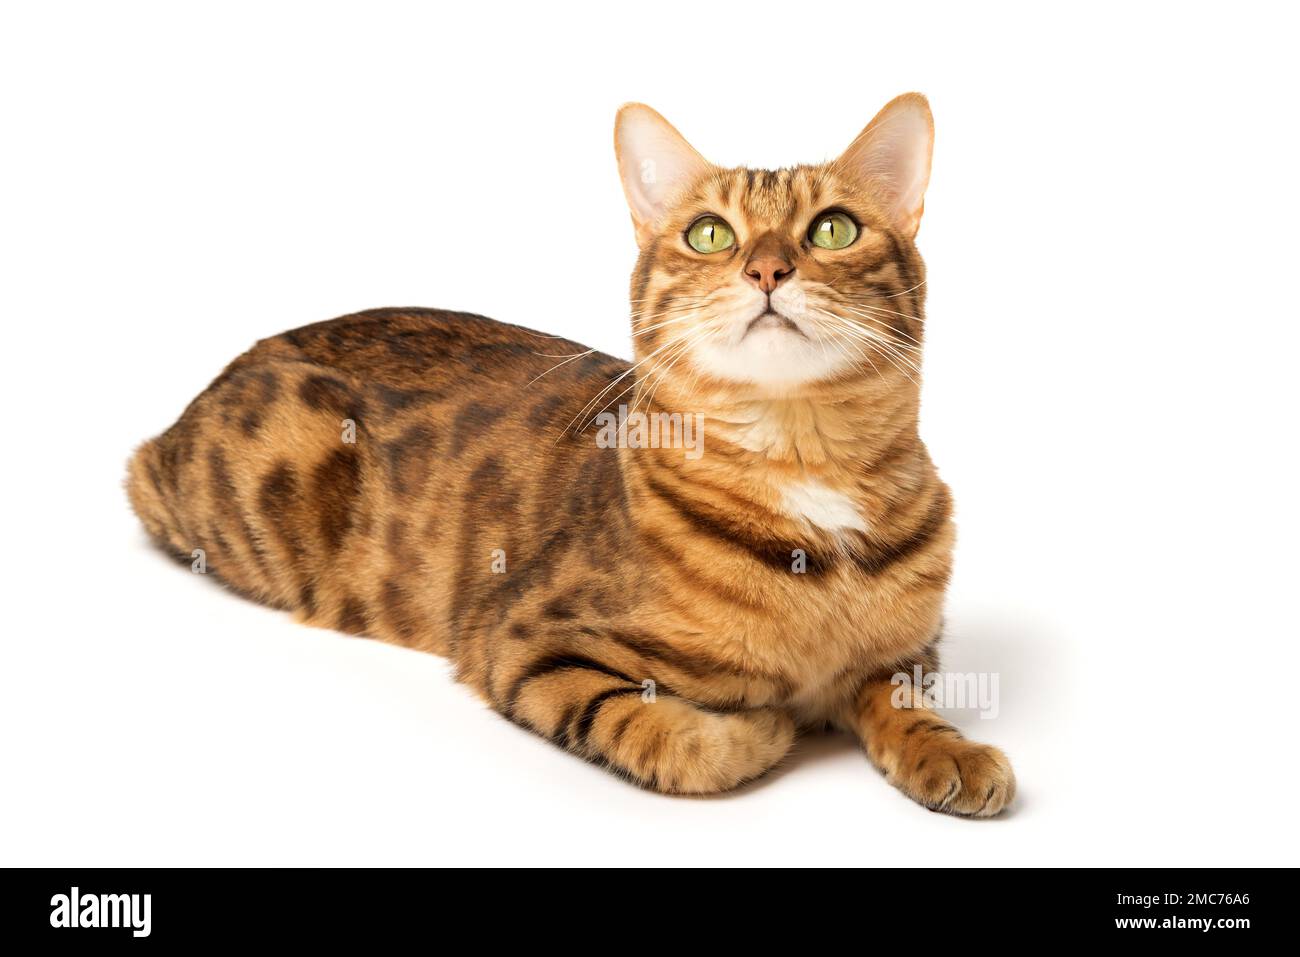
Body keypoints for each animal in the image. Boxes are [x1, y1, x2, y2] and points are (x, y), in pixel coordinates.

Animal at [126, 95, 1013, 816]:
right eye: (710, 233)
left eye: (833, 228)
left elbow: (903, 700)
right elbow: (675, 739)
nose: (767, 267)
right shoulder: (528, 641)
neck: (806, 472)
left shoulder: (909, 651)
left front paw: (953, 751)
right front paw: (760, 726)